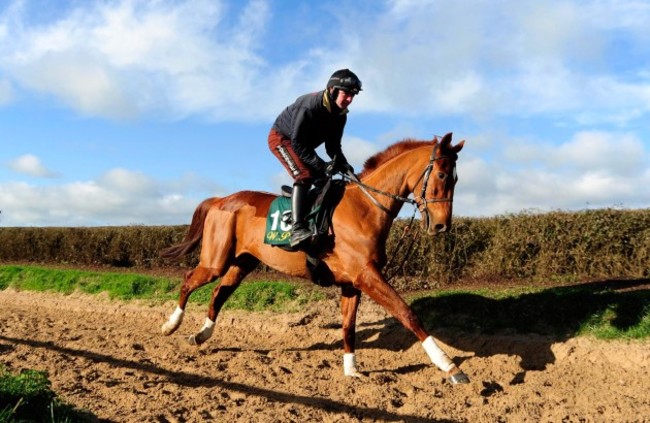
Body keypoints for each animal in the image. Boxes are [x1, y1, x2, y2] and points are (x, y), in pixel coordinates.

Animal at [160, 132, 468, 384]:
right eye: (442, 175)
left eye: (455, 178)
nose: (441, 225)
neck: (365, 207)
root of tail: (221, 200)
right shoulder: (367, 276)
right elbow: (407, 313)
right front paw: (449, 366)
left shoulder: (352, 283)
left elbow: (348, 326)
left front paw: (351, 369)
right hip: (215, 261)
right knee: (189, 280)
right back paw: (170, 325)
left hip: (242, 262)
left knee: (219, 293)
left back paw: (202, 334)